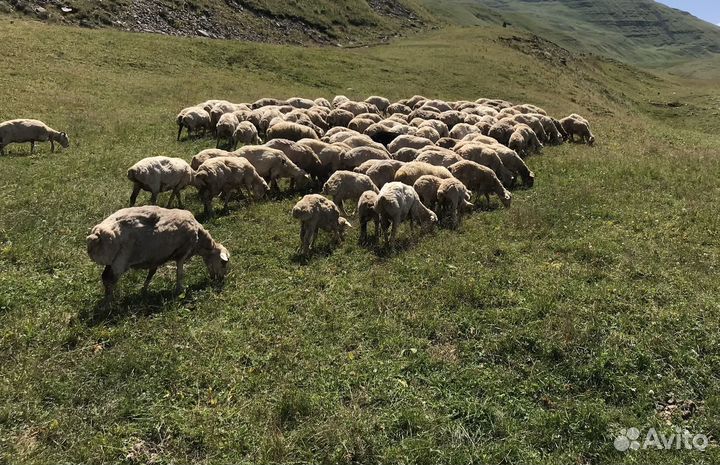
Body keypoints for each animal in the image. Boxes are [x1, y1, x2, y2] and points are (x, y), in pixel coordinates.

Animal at [86, 206, 229, 304]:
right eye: (224, 262)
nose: (221, 279)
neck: (199, 241)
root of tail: (97, 235)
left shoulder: (156, 257)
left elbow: (151, 273)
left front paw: (144, 291)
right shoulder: (183, 253)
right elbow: (180, 274)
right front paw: (180, 290)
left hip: (113, 261)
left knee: (105, 277)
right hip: (120, 261)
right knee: (110, 280)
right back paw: (110, 303)